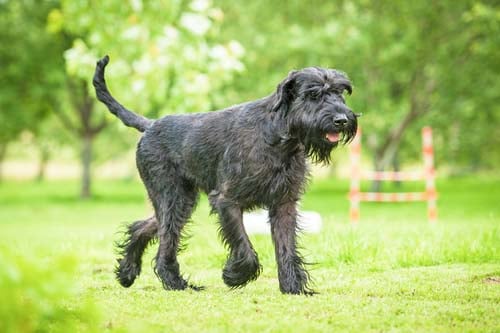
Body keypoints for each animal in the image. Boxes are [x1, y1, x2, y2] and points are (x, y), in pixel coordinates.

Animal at [93, 55, 356, 294]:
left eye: (340, 92)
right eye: (314, 94)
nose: (342, 119)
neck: (278, 138)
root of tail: (150, 125)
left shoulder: (284, 204)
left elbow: (286, 247)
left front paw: (293, 286)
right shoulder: (227, 200)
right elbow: (244, 245)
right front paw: (234, 276)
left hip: (182, 200)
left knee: (144, 227)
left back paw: (127, 272)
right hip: (172, 198)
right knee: (166, 241)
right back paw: (175, 283)